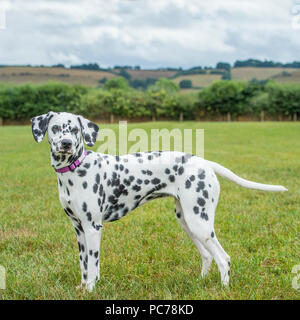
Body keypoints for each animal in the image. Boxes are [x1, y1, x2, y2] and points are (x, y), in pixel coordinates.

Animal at [31, 111, 288, 292]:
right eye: (55, 128)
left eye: (74, 129)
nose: (66, 143)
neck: (74, 170)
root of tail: (205, 163)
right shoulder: (79, 229)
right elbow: (84, 266)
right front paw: (83, 288)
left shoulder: (93, 228)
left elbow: (93, 267)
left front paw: (91, 289)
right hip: (188, 222)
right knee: (208, 256)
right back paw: (201, 282)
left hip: (200, 224)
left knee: (223, 259)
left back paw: (223, 289)